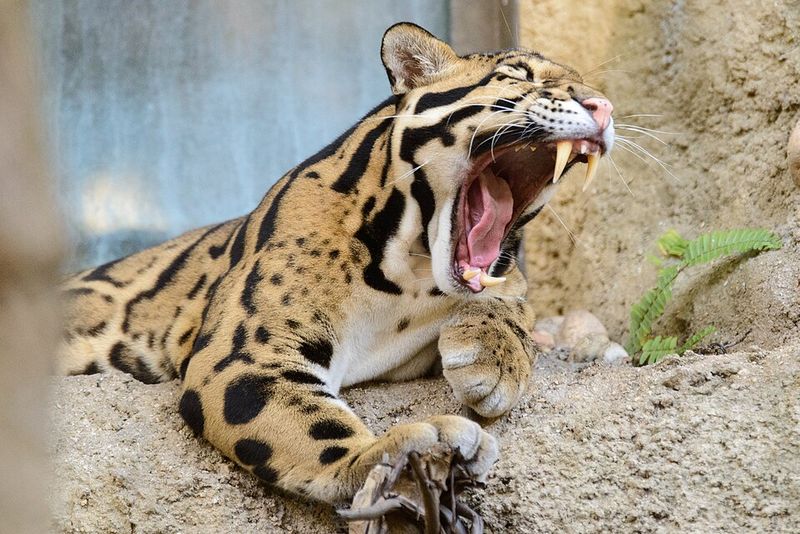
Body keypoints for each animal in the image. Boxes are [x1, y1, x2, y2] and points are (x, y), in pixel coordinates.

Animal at [58, 22, 615, 504]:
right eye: (519, 75)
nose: (605, 107)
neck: (409, 271)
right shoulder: (245, 357)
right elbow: (313, 426)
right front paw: (393, 455)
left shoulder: (494, 275)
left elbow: (512, 295)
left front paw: (496, 356)